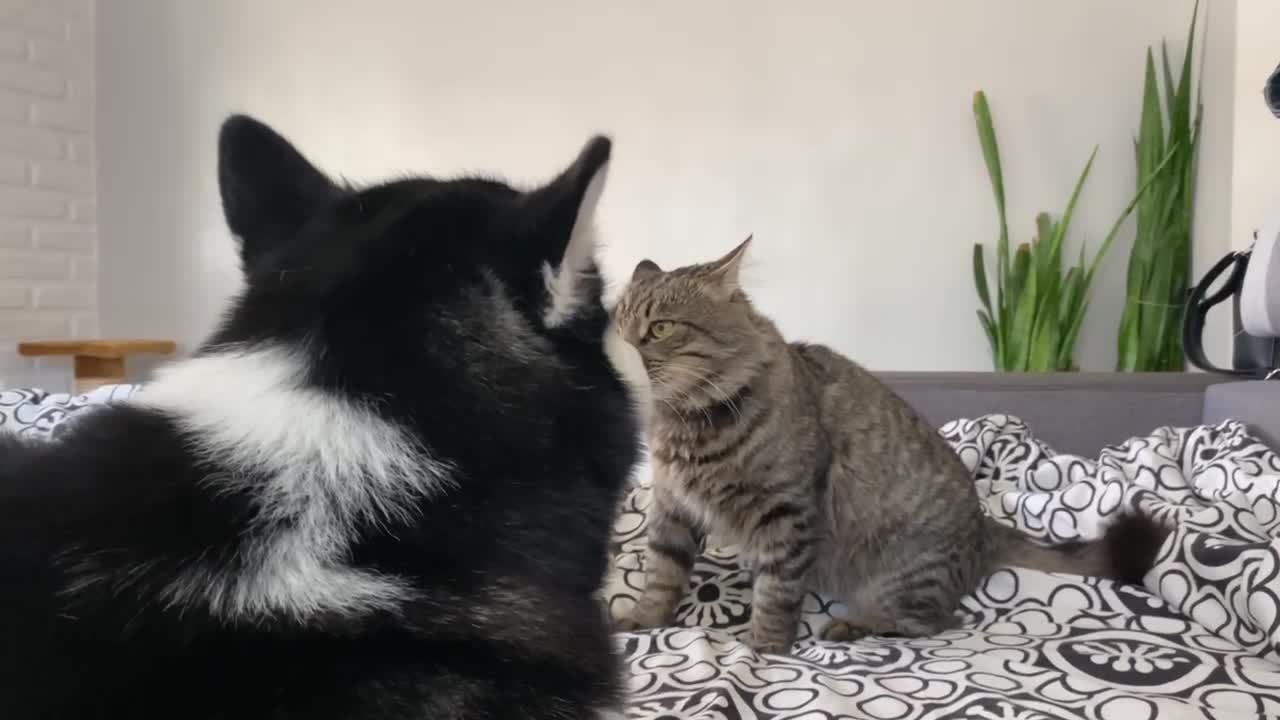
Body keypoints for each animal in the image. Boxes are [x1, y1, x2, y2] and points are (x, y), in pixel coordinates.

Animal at [611, 235, 1172, 650]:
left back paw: (852, 625)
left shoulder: (787, 513)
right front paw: (642, 620)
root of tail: (984, 530)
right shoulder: (672, 507)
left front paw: (762, 647)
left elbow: (776, 592)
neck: (689, 425)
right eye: (617, 326)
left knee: (933, 621)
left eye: (660, 329)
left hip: (900, 574)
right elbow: (661, 574)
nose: (619, 354)